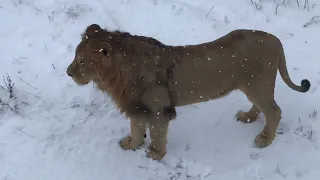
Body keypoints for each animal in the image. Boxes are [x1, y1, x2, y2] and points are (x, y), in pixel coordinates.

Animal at [65, 23, 310, 160]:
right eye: (76, 55)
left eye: (82, 60)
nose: (68, 72)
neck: (116, 75)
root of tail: (276, 40)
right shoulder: (137, 107)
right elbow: (136, 129)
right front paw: (131, 145)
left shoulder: (158, 109)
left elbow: (157, 134)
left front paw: (155, 154)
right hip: (254, 87)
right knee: (262, 108)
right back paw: (247, 117)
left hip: (258, 85)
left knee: (274, 111)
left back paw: (264, 139)